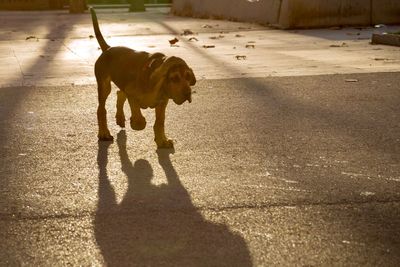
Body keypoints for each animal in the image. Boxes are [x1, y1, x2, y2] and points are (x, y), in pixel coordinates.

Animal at [91, 7, 197, 149]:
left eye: (188, 76)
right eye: (174, 78)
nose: (187, 94)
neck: (158, 86)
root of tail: (108, 48)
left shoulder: (162, 103)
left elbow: (160, 122)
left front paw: (162, 140)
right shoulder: (132, 93)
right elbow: (136, 111)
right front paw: (137, 123)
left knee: (119, 93)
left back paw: (120, 118)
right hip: (104, 86)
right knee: (101, 109)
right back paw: (104, 133)